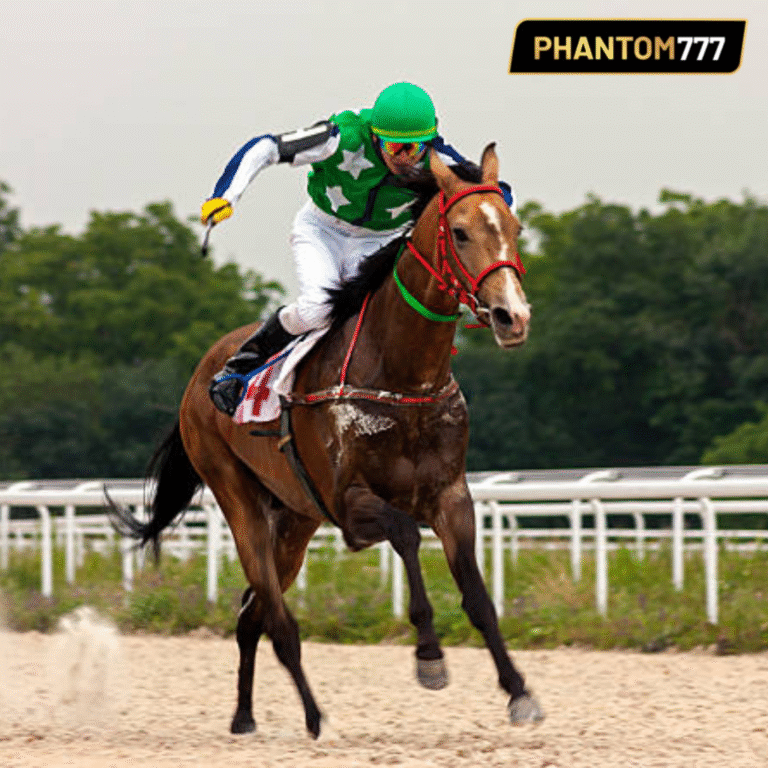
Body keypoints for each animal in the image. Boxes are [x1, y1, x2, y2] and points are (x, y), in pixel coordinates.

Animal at [109, 144, 543, 737]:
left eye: (515, 228)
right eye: (458, 232)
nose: (511, 316)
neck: (402, 376)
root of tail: (203, 372)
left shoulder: (452, 496)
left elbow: (478, 598)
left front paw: (518, 690)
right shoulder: (350, 502)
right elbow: (406, 534)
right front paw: (429, 656)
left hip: (295, 520)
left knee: (250, 615)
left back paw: (243, 716)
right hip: (239, 499)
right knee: (277, 619)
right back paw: (316, 717)